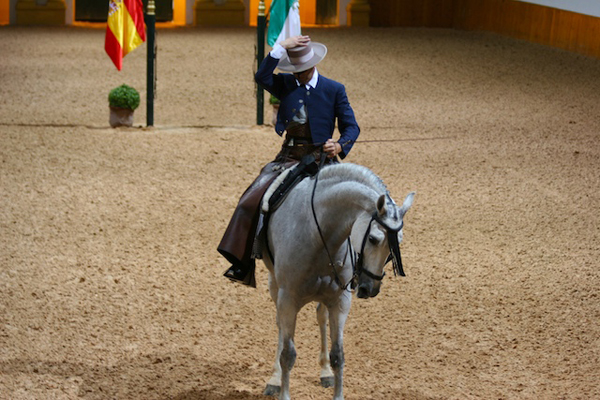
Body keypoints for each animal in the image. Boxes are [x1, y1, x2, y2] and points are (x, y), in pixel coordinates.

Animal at [260, 163, 414, 400]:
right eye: (373, 239)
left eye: (397, 244)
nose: (371, 288)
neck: (317, 232)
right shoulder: (288, 300)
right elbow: (288, 354)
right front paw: (282, 389)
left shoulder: (340, 301)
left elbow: (338, 355)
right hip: (274, 285)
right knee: (280, 326)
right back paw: (274, 380)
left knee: (321, 317)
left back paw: (324, 373)